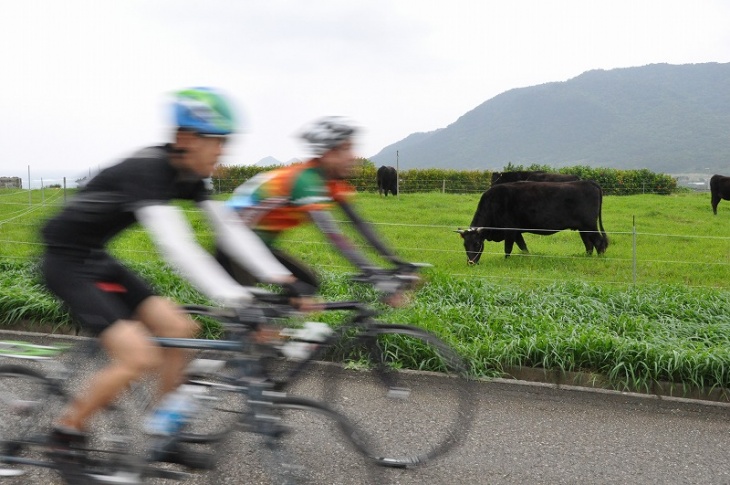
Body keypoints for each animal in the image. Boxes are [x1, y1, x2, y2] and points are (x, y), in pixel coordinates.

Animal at [456, 180, 608, 260]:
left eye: (476, 243)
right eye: (464, 245)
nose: (471, 262)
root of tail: (587, 182)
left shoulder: (509, 231)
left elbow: (508, 248)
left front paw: (506, 261)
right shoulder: (517, 232)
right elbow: (523, 246)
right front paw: (528, 257)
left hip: (590, 225)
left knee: (599, 242)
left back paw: (599, 259)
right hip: (583, 228)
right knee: (589, 244)